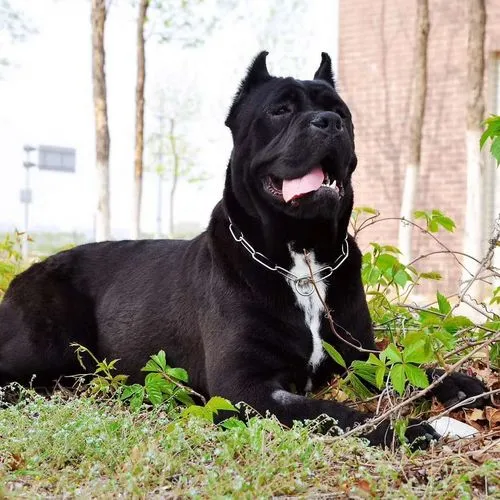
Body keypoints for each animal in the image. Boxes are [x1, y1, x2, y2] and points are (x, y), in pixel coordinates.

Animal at [0, 52, 484, 448]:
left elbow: (413, 369)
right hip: (48, 342)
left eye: (341, 110)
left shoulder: (359, 354)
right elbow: (334, 413)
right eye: (280, 109)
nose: (328, 122)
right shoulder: (246, 388)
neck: (301, 258)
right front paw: (418, 428)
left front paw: (464, 386)